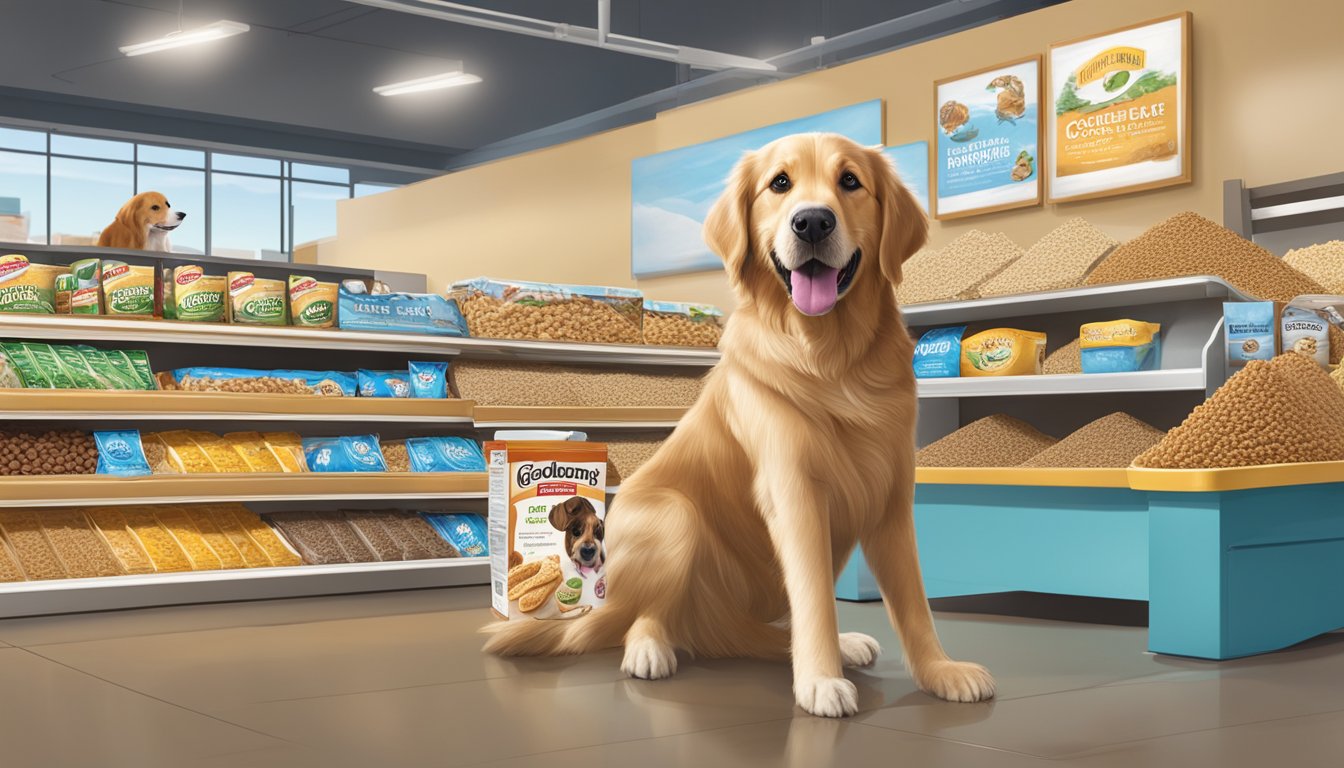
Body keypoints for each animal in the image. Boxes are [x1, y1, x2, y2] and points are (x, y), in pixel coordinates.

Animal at [478, 130, 994, 715]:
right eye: (780, 183)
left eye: (850, 181)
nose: (812, 222)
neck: (832, 360)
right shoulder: (794, 491)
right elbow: (816, 597)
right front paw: (820, 680)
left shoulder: (891, 499)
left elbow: (913, 602)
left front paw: (940, 672)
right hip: (673, 517)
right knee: (649, 615)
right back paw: (649, 649)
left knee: (739, 633)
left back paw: (833, 645)